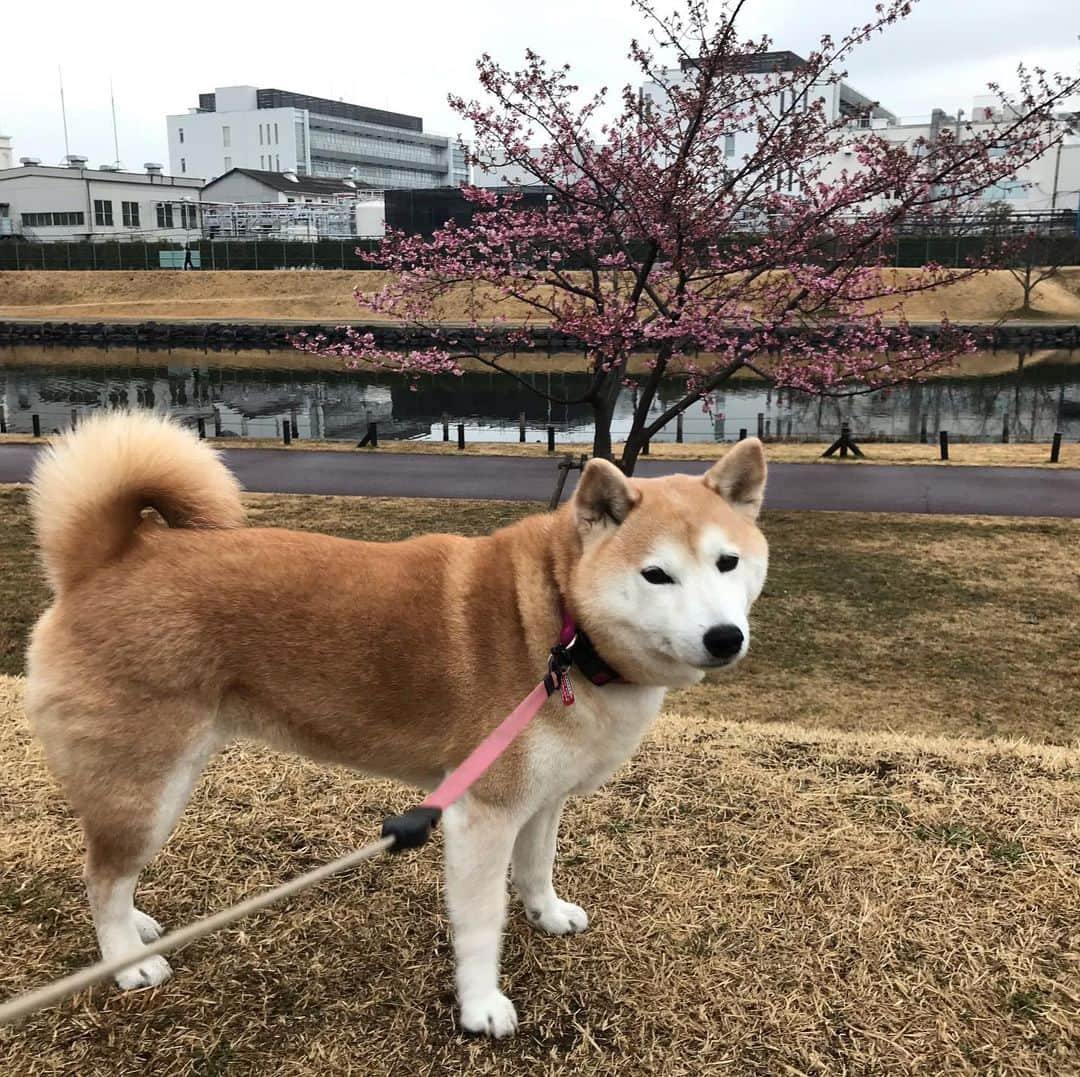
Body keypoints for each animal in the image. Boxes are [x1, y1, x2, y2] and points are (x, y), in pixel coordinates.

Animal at [23, 412, 768, 1032]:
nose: (725, 637)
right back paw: (125, 962)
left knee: (114, 873)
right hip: (148, 788)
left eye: (727, 562)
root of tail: (104, 559)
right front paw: (482, 1006)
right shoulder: (482, 813)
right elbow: (482, 923)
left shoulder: (542, 797)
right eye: (656, 575)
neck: (561, 626)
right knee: (102, 877)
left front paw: (547, 913)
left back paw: (139, 928)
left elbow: (536, 868)